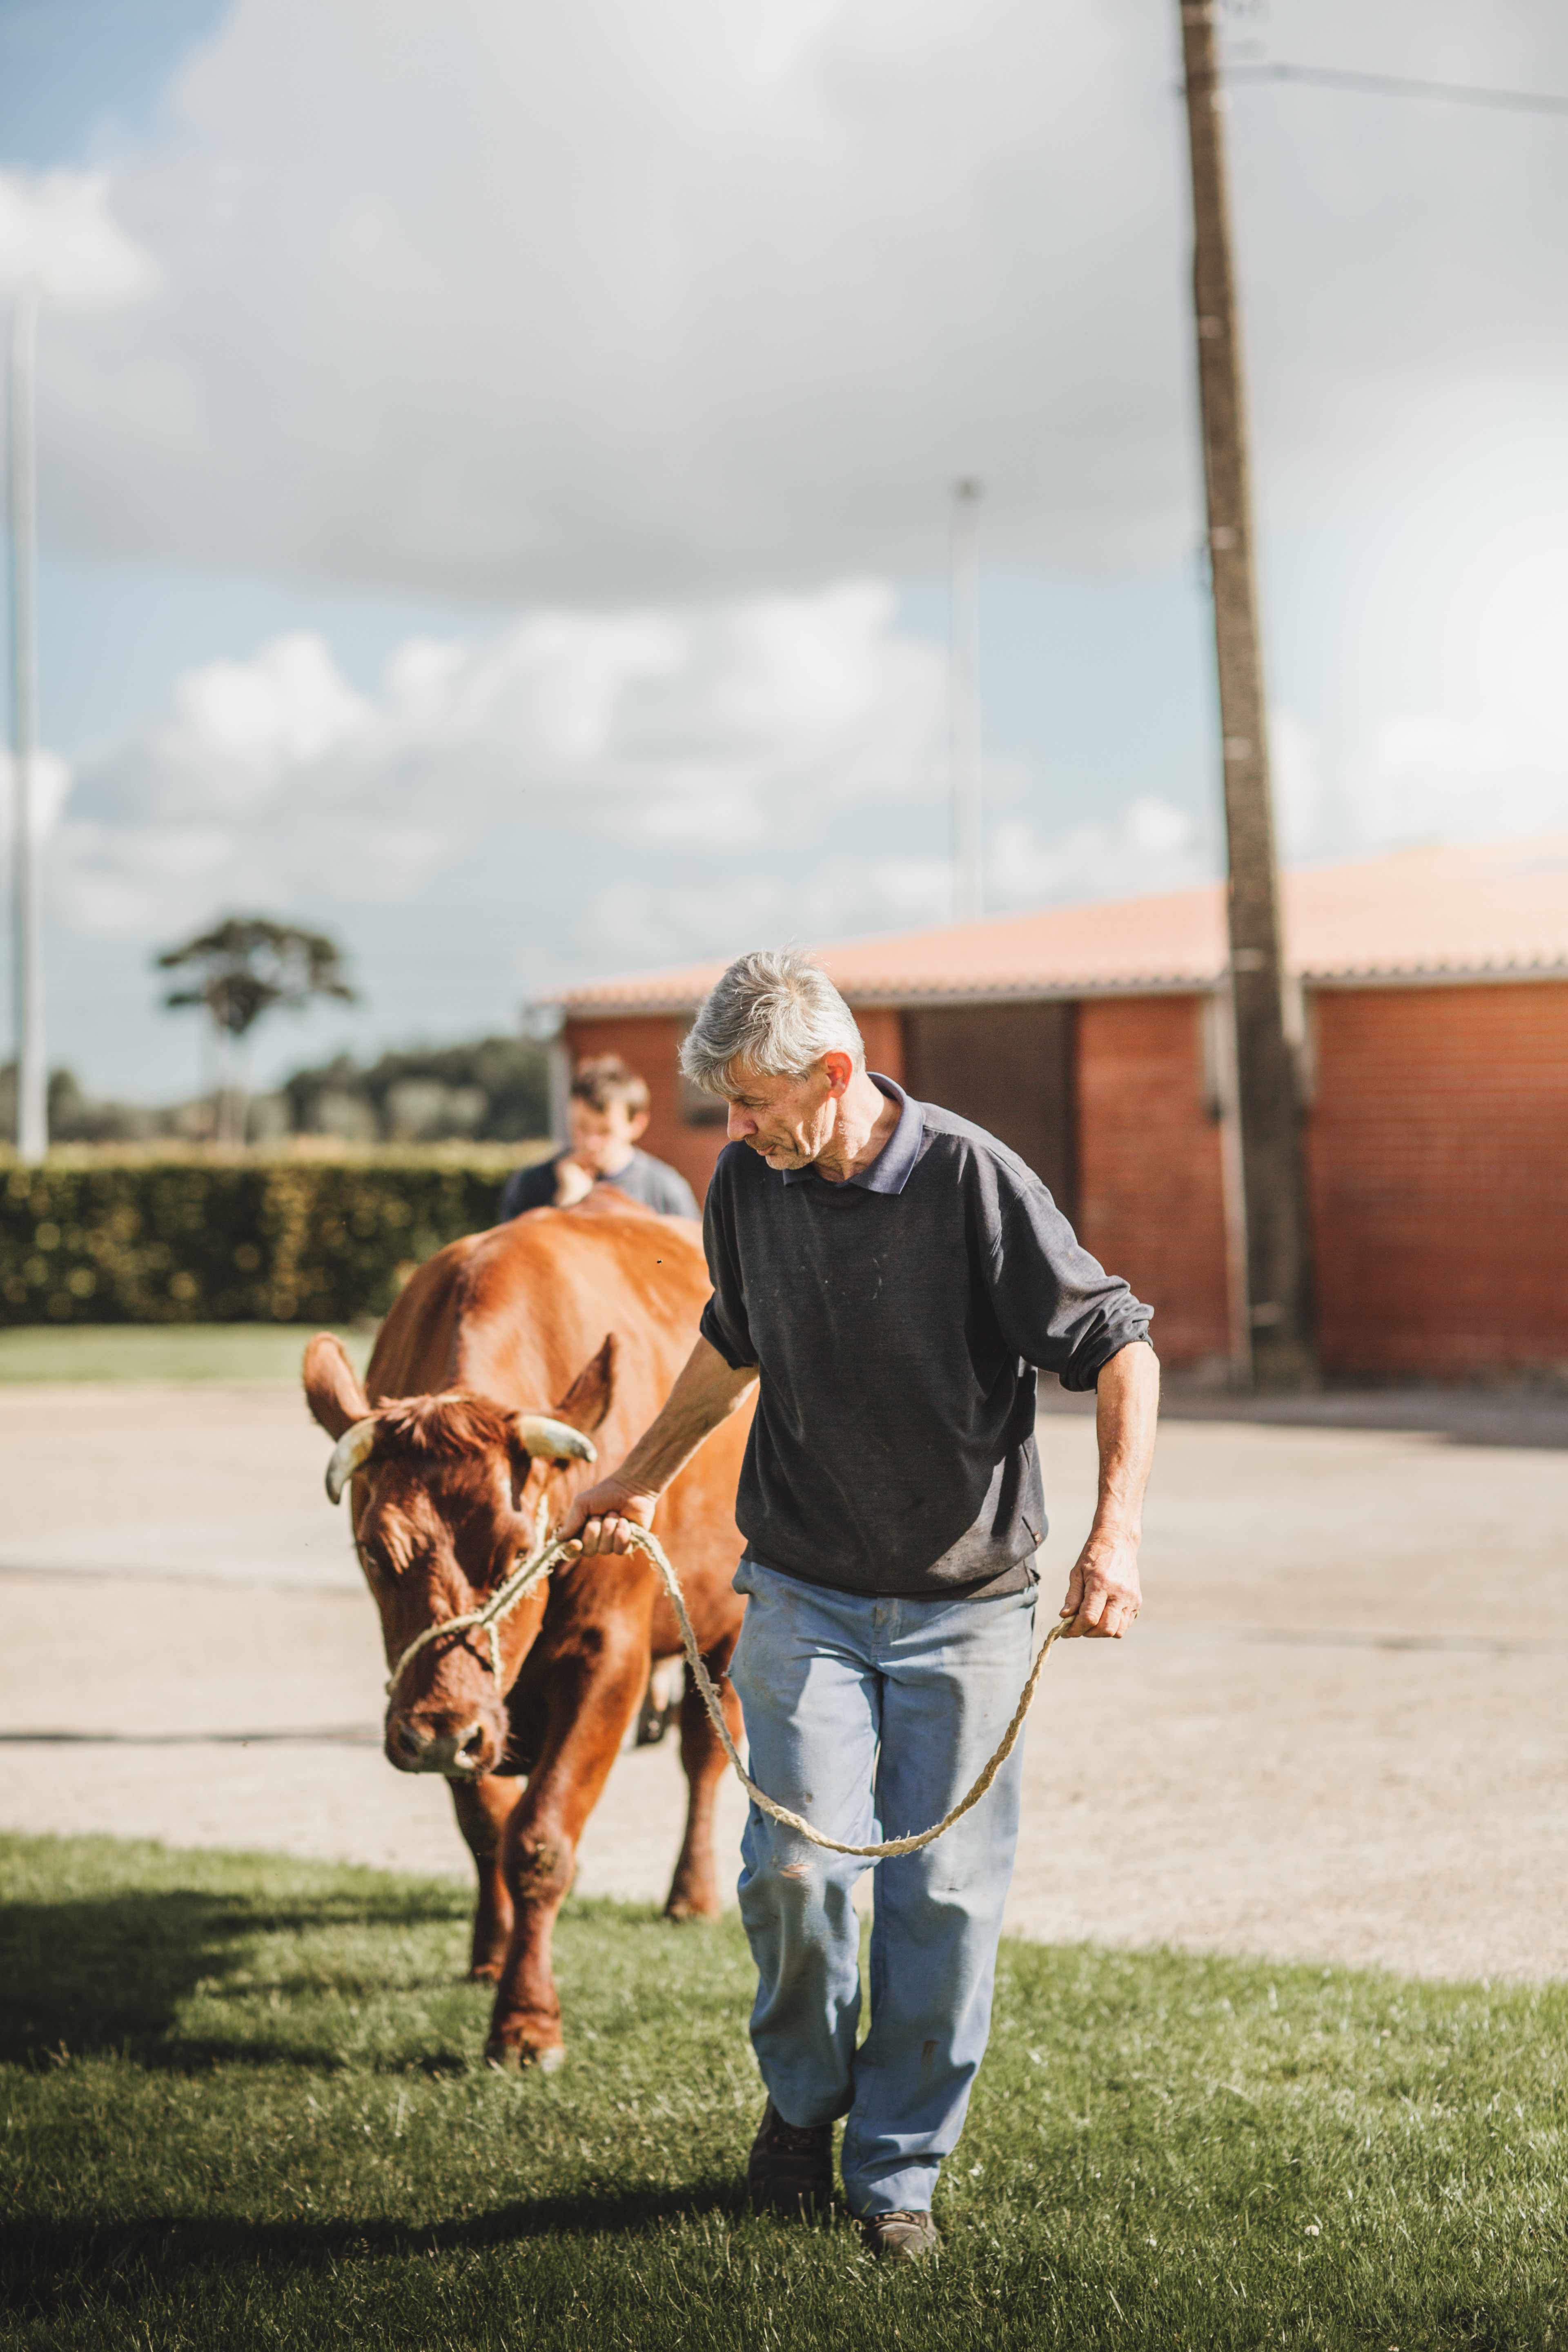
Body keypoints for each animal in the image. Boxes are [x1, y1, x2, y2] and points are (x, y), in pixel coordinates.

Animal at [305, 1204, 752, 2069]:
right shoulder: (446, 1706)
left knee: (705, 1753)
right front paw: (491, 1956)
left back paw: (691, 1896)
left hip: (724, 1628)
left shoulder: (607, 1658)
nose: (440, 1734)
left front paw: (526, 2023)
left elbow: (540, 1840)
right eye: (375, 1551)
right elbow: (487, 1827)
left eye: (519, 1553)